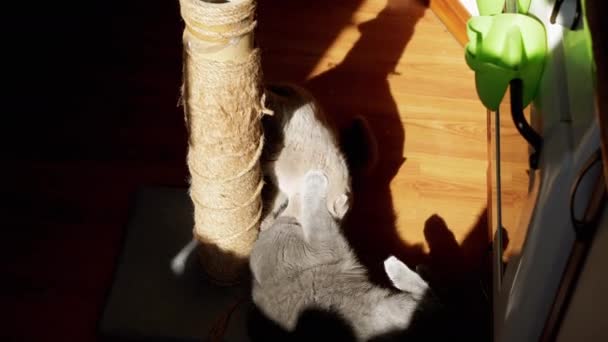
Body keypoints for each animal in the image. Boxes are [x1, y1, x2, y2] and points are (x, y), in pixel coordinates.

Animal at [249, 170, 440, 340]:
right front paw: (315, 179)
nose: (292, 221)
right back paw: (394, 265)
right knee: (428, 296)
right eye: (293, 224)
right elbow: (315, 213)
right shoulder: (324, 245)